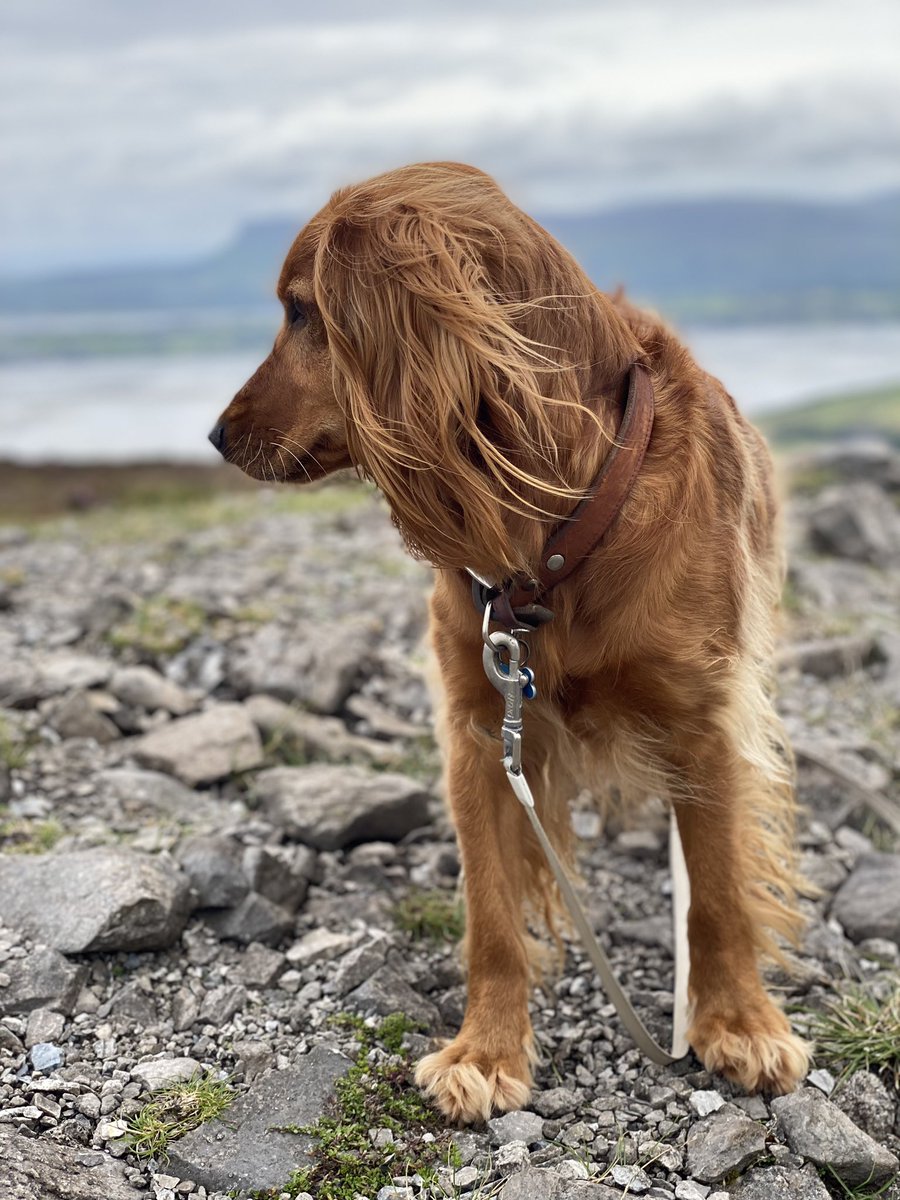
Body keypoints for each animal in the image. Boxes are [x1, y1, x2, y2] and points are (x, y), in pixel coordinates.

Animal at [211, 162, 811, 1123]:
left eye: (302, 312)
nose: (216, 436)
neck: (561, 537)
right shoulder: (482, 729)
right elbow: (491, 914)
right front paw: (487, 1051)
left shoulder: (708, 722)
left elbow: (717, 893)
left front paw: (737, 1022)